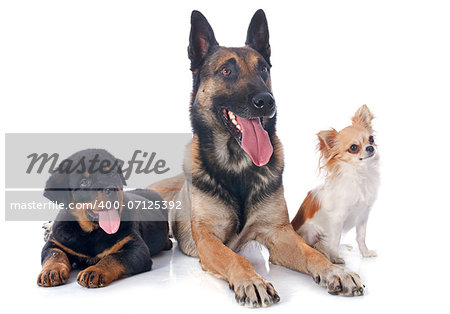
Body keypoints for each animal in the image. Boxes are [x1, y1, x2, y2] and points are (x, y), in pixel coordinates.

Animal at [37, 148, 172, 288]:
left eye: (112, 174)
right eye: (84, 182)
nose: (110, 189)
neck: (92, 232)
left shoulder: (136, 248)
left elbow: (113, 257)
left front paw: (95, 270)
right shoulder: (55, 243)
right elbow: (54, 254)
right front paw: (51, 271)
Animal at [151, 9, 366, 306]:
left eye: (263, 69)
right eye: (226, 71)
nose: (266, 101)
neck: (238, 166)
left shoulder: (280, 233)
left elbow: (312, 252)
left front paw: (335, 271)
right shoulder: (208, 239)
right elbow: (235, 258)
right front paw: (253, 281)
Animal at [292, 104, 380, 264]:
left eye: (371, 139)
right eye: (353, 148)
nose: (370, 148)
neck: (360, 174)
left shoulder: (363, 215)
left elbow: (361, 236)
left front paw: (365, 253)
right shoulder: (337, 219)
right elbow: (334, 240)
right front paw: (335, 258)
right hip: (311, 231)